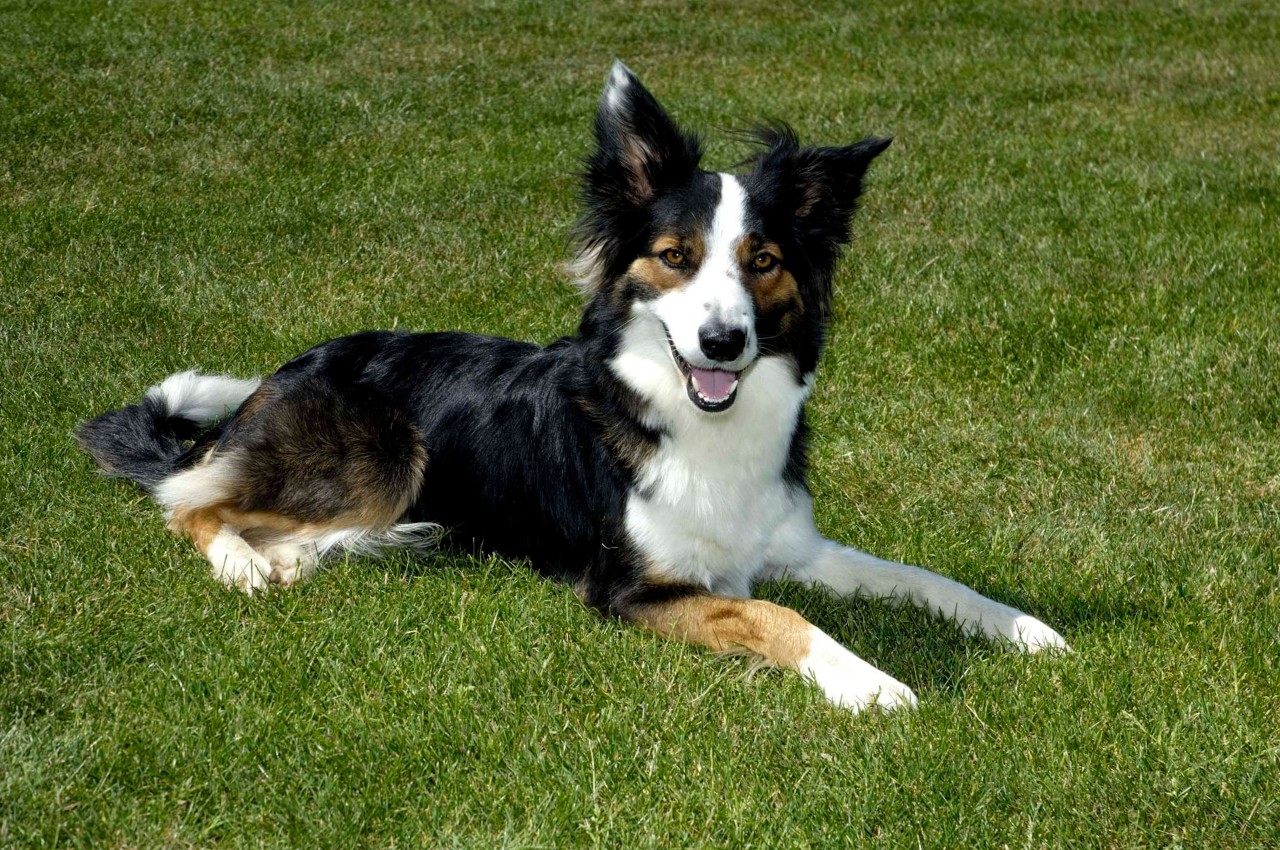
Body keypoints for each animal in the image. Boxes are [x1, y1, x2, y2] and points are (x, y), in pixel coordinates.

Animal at [74, 63, 1064, 711]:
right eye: (675, 257)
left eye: (764, 261)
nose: (725, 340)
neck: (695, 424)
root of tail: (271, 382)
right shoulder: (630, 590)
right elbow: (775, 614)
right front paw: (870, 682)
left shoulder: (793, 543)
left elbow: (922, 576)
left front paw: (1022, 628)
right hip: (382, 451)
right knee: (188, 498)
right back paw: (245, 561)